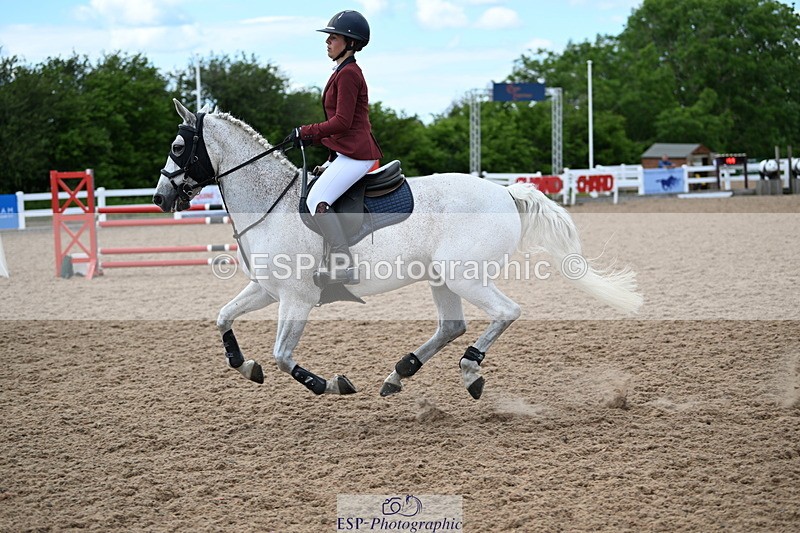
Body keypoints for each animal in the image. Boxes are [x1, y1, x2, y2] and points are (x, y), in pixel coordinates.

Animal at [153, 99, 643, 399]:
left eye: (178, 145)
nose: (160, 198)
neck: (272, 202)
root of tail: (505, 192)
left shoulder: (297, 297)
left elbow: (282, 355)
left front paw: (330, 384)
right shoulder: (267, 290)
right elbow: (223, 318)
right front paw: (244, 365)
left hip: (465, 276)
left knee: (506, 312)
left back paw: (469, 370)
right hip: (443, 279)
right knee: (452, 326)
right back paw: (399, 373)